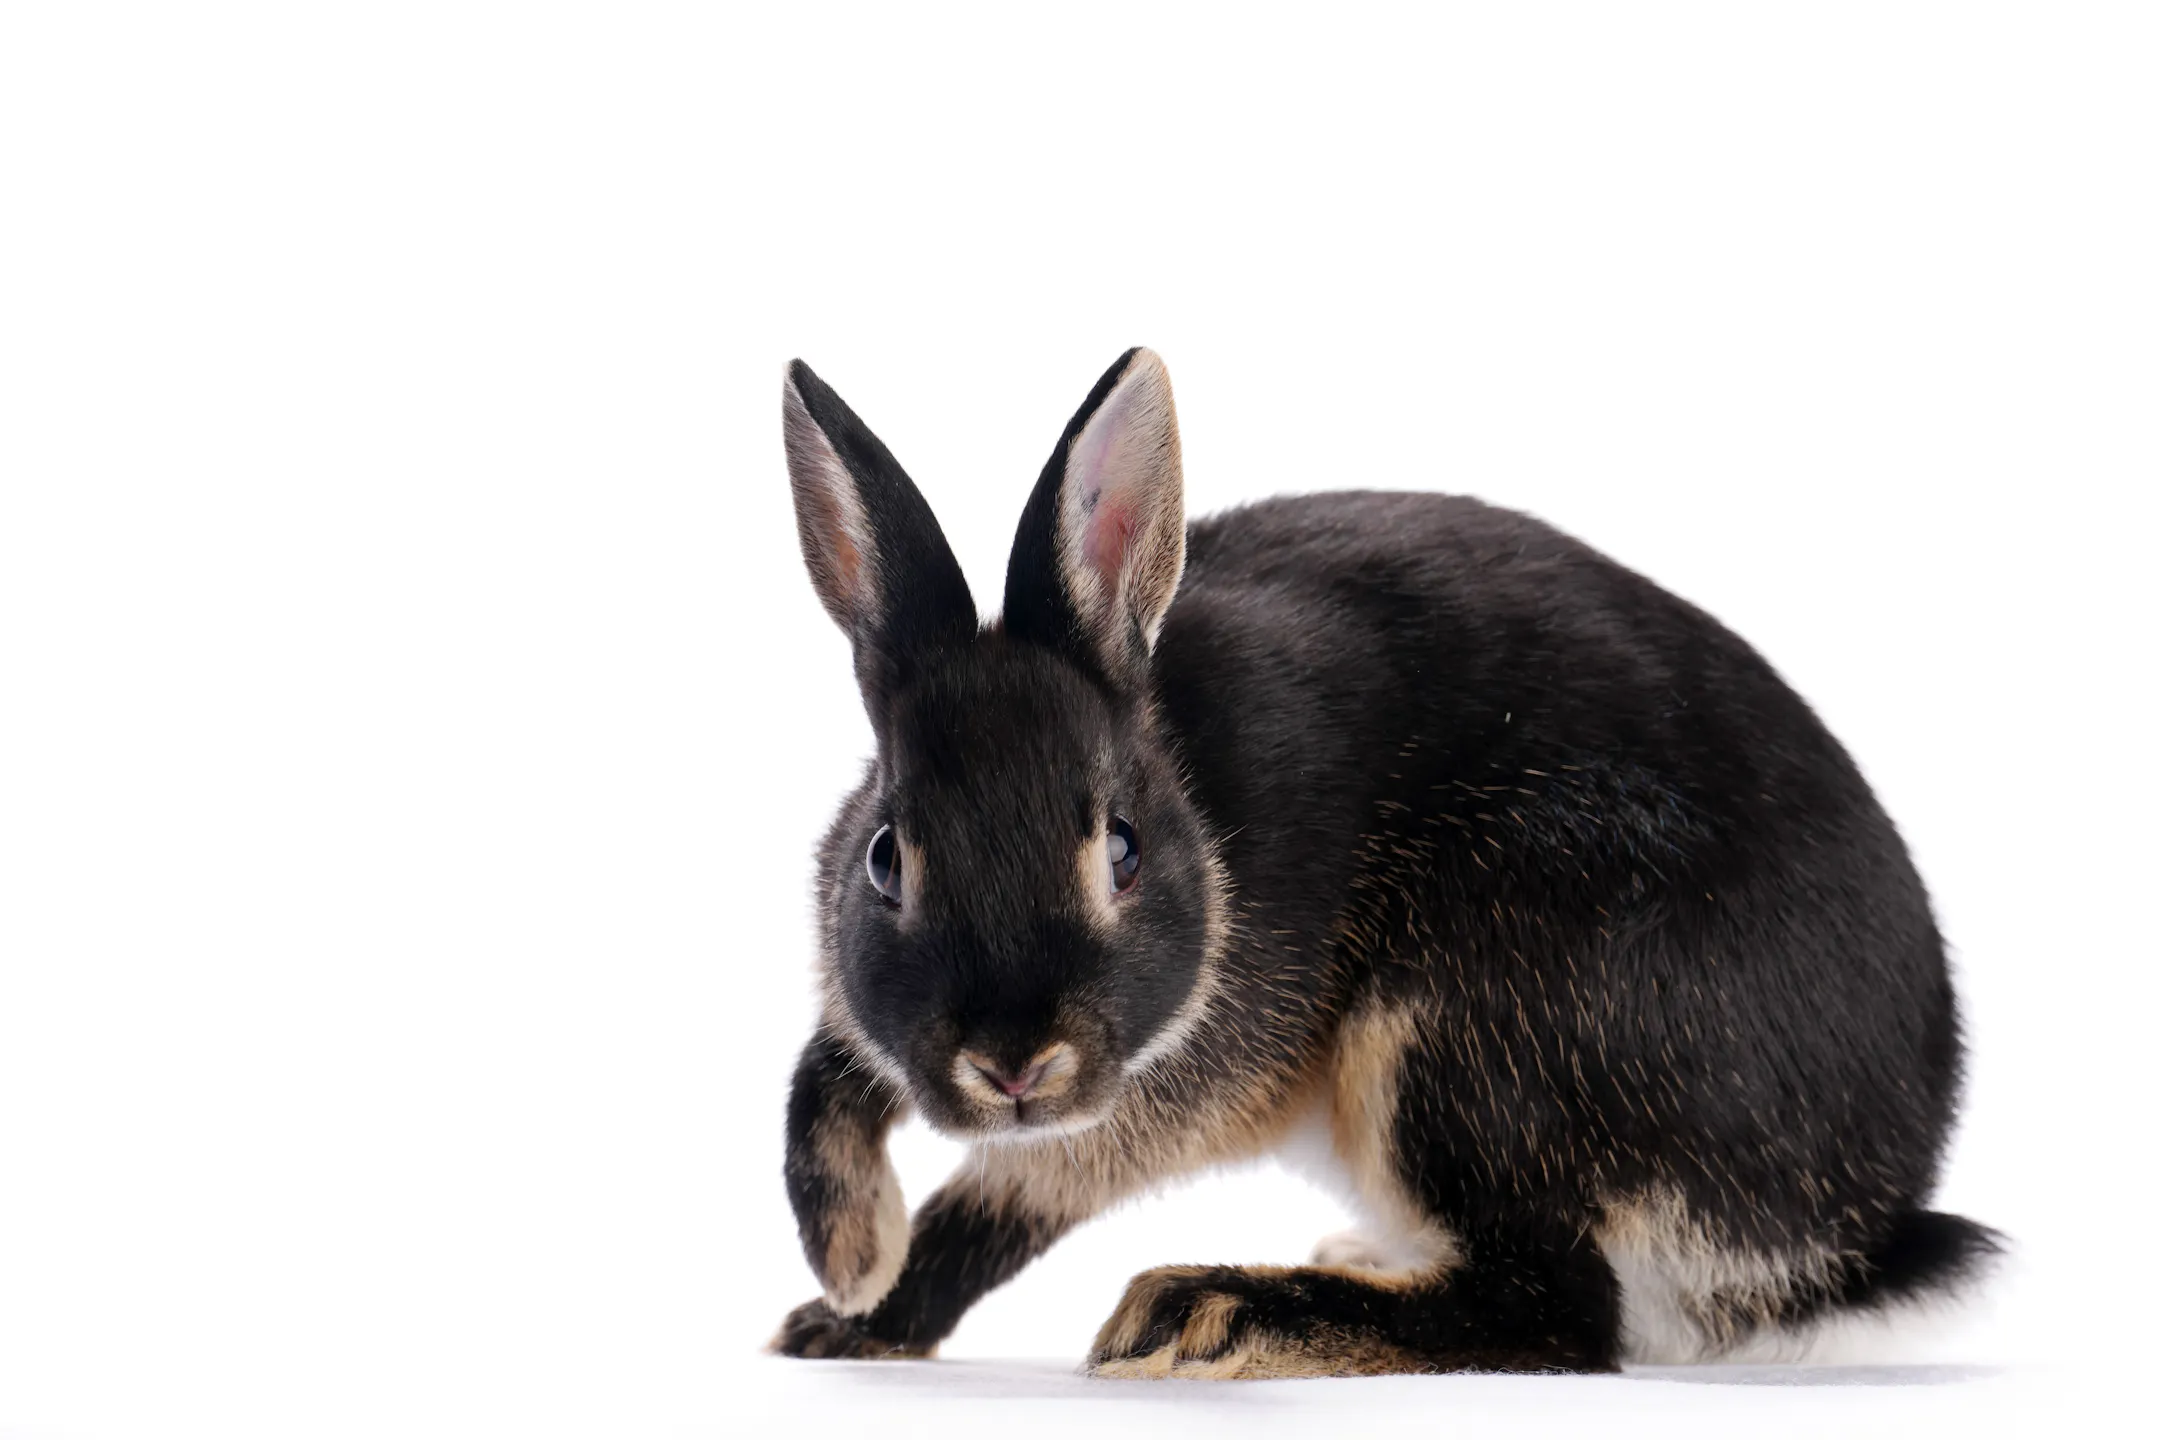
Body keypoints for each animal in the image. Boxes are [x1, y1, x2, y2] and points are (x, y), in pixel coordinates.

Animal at [767, 347, 1997, 1376]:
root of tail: (1857, 1223)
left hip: (1461, 1030)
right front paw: (845, 1268)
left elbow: (1009, 1196)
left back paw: (1208, 1309)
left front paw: (864, 1303)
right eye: (884, 856)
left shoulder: (1164, 1091)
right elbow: (825, 1080)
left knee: (1554, 1306)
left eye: (1121, 848)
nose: (1014, 1062)